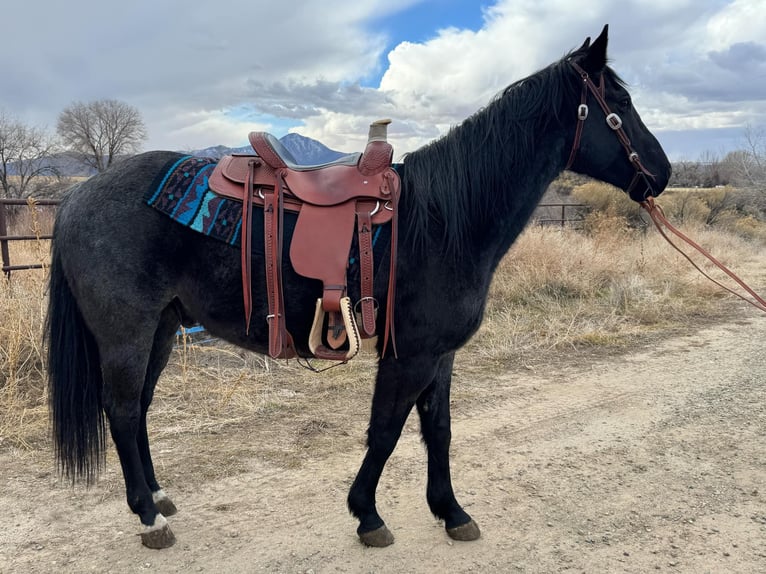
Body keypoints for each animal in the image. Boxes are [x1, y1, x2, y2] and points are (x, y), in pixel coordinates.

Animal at [46, 25, 671, 549]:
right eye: (619, 105)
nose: (661, 174)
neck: (443, 219)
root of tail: (78, 196)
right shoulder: (409, 354)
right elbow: (386, 431)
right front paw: (367, 514)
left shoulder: (440, 355)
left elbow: (438, 430)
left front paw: (451, 512)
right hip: (127, 332)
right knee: (122, 409)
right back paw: (148, 519)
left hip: (162, 326)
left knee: (139, 409)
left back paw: (156, 497)